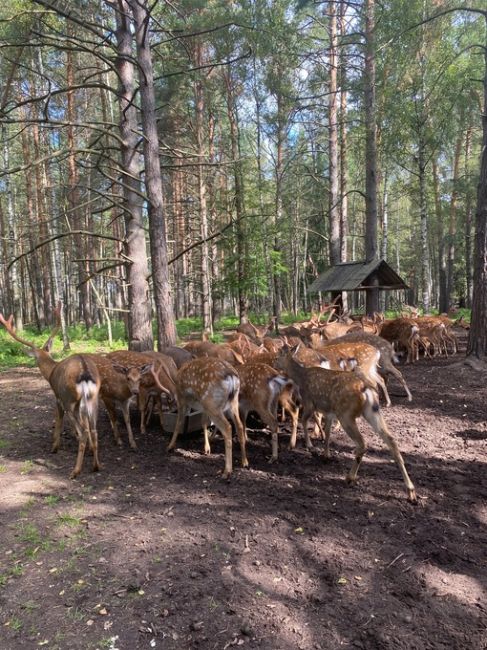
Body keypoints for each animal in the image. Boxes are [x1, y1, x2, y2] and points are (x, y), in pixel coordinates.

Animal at [0, 304, 101, 476]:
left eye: (35, 358)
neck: (51, 371)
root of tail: (85, 372)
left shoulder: (57, 397)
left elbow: (58, 422)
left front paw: (54, 447)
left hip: (70, 399)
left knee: (83, 431)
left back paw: (75, 471)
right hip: (93, 399)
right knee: (93, 429)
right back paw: (96, 466)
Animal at [276, 344, 418, 502]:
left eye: (277, 357)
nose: (275, 366)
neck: (300, 377)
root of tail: (366, 390)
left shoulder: (309, 402)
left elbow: (305, 421)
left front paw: (311, 447)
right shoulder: (329, 411)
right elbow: (328, 432)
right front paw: (326, 454)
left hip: (346, 414)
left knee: (362, 443)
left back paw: (350, 477)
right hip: (372, 411)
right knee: (391, 440)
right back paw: (411, 491)